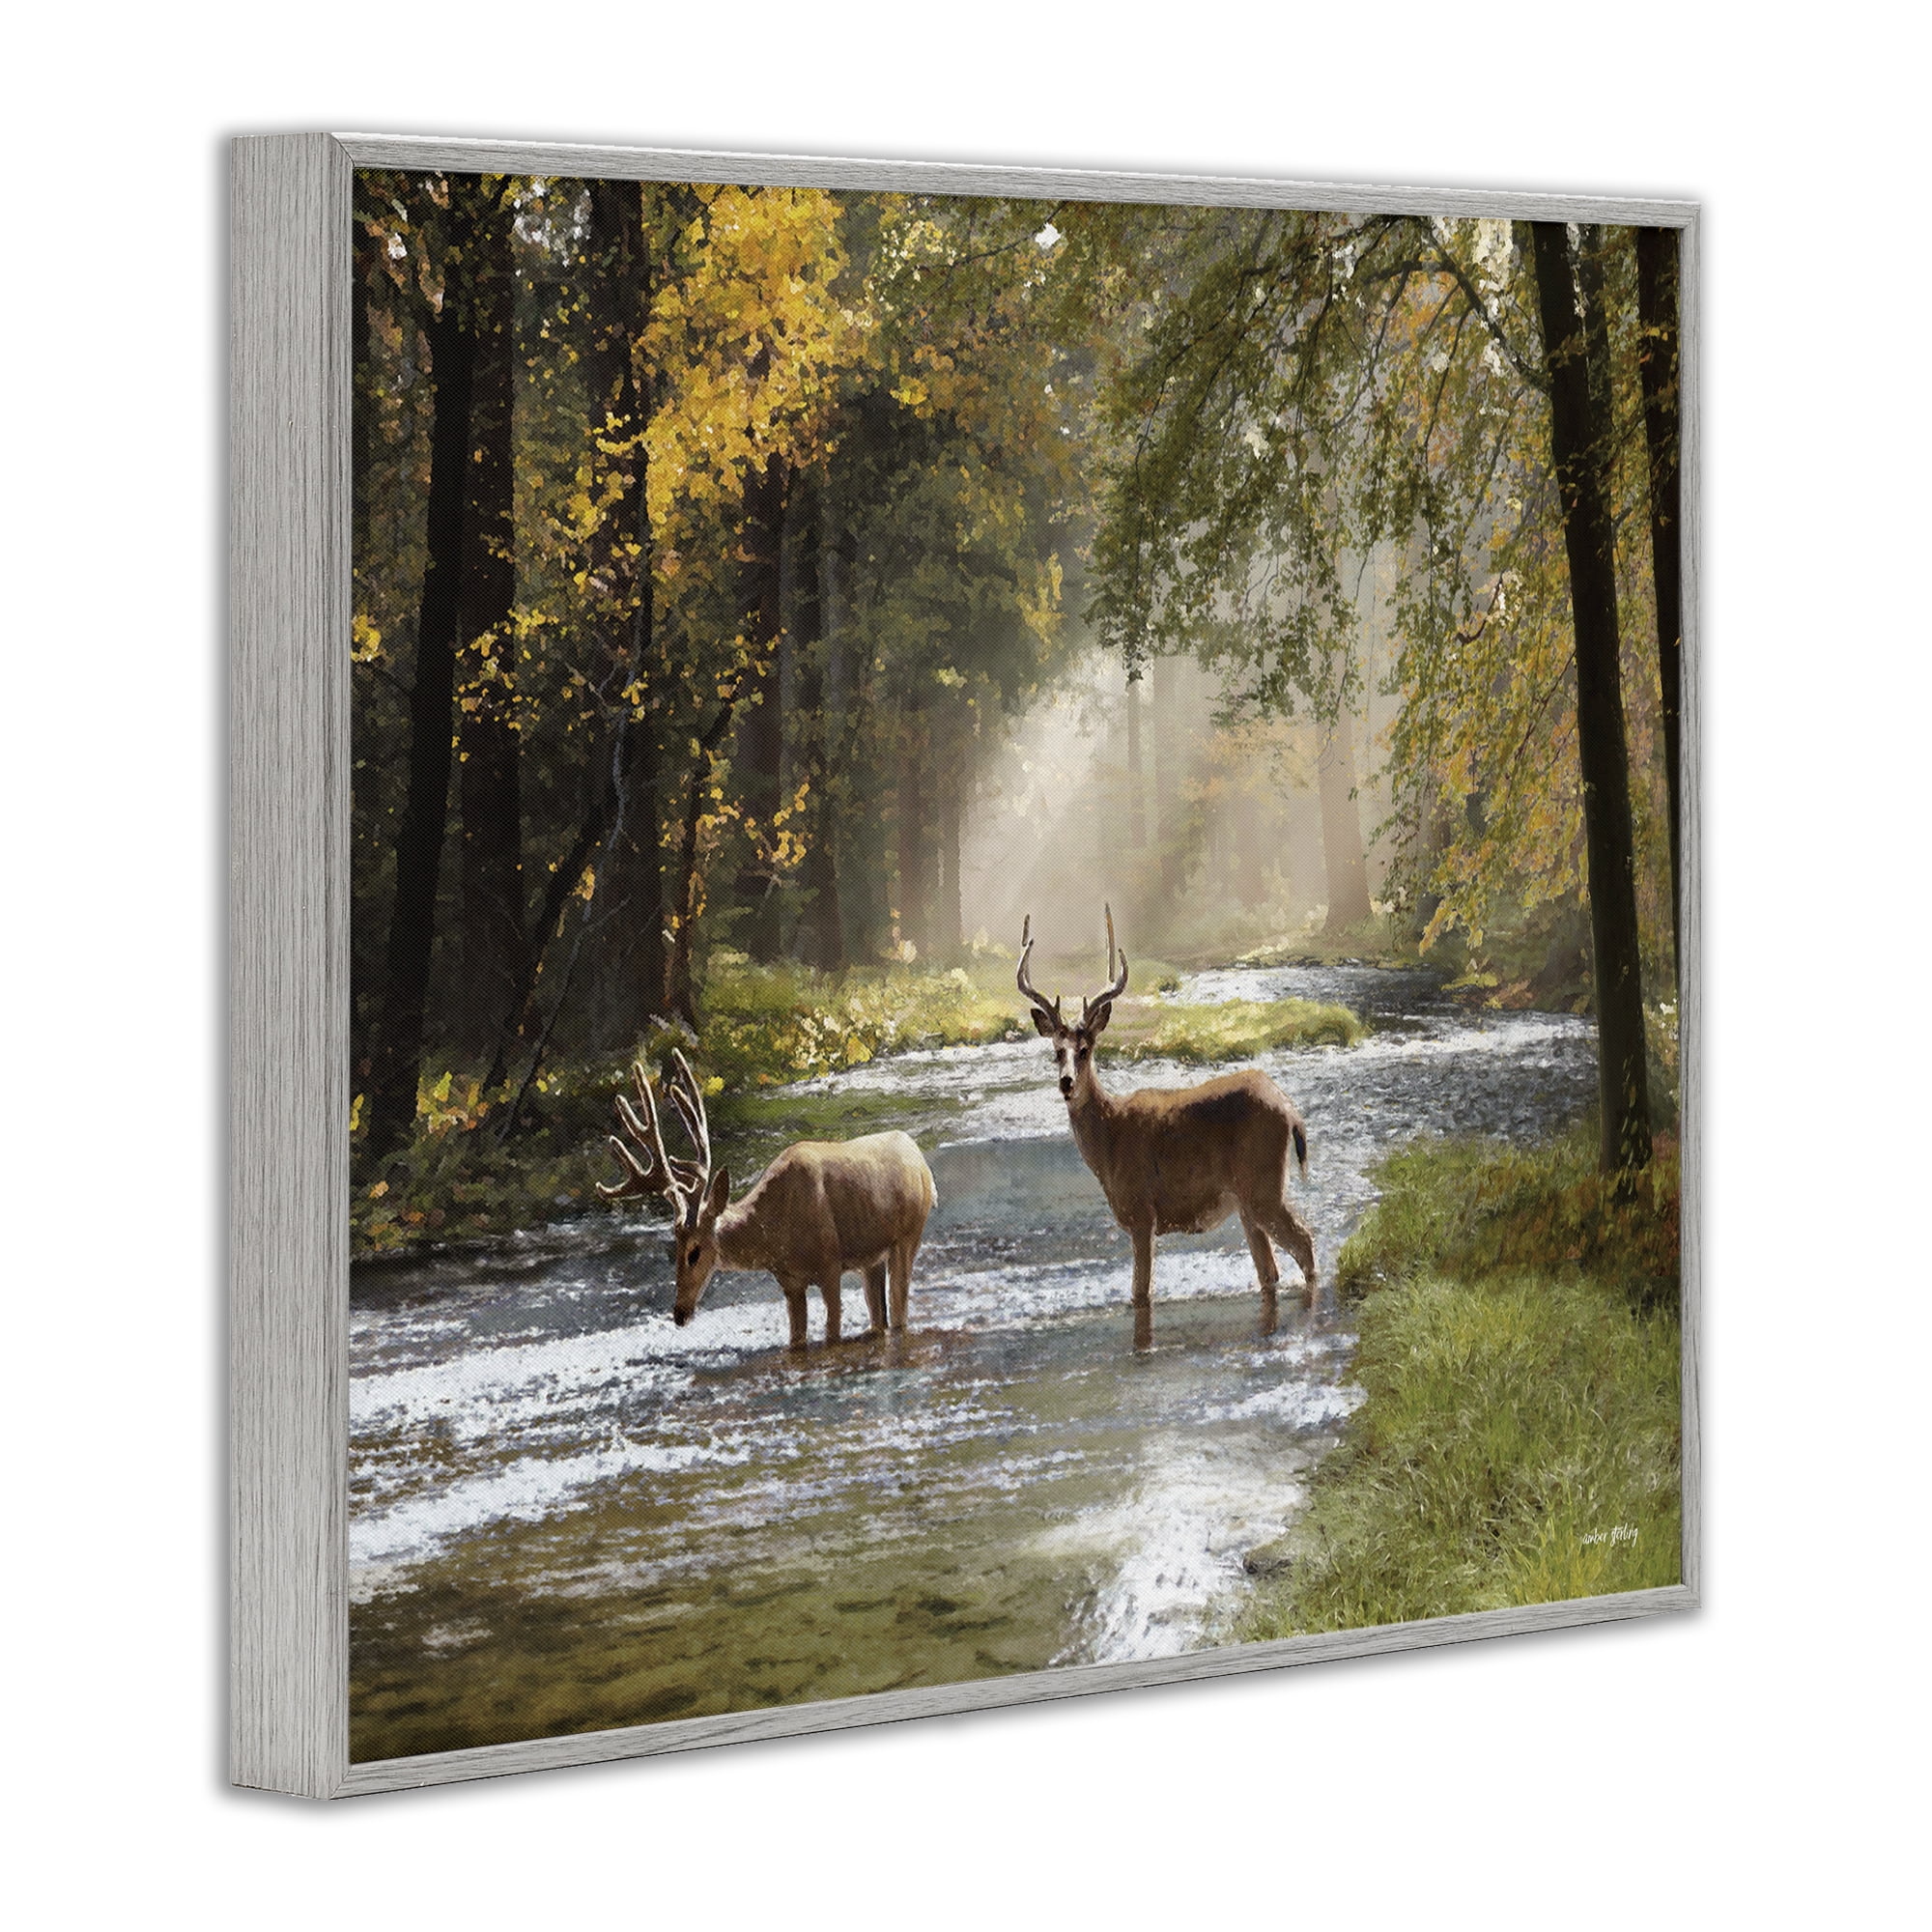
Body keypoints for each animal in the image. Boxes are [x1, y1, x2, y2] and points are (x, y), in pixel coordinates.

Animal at [596, 1049, 937, 1352]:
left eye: (694, 1251)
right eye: (673, 1248)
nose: (679, 1313)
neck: (775, 1233)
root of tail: (922, 1162)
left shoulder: (830, 1264)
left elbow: (832, 1333)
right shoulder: (789, 1283)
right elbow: (796, 1340)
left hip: (908, 1236)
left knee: (899, 1313)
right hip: (872, 1259)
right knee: (880, 1318)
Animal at [1018, 908, 1316, 1341]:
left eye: (1085, 1050)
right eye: (1057, 1051)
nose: (1067, 1083)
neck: (1109, 1141)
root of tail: (1290, 1109)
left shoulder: (1143, 1212)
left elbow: (1140, 1294)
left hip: (1263, 1185)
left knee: (1305, 1244)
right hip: (1247, 1200)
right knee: (1270, 1272)